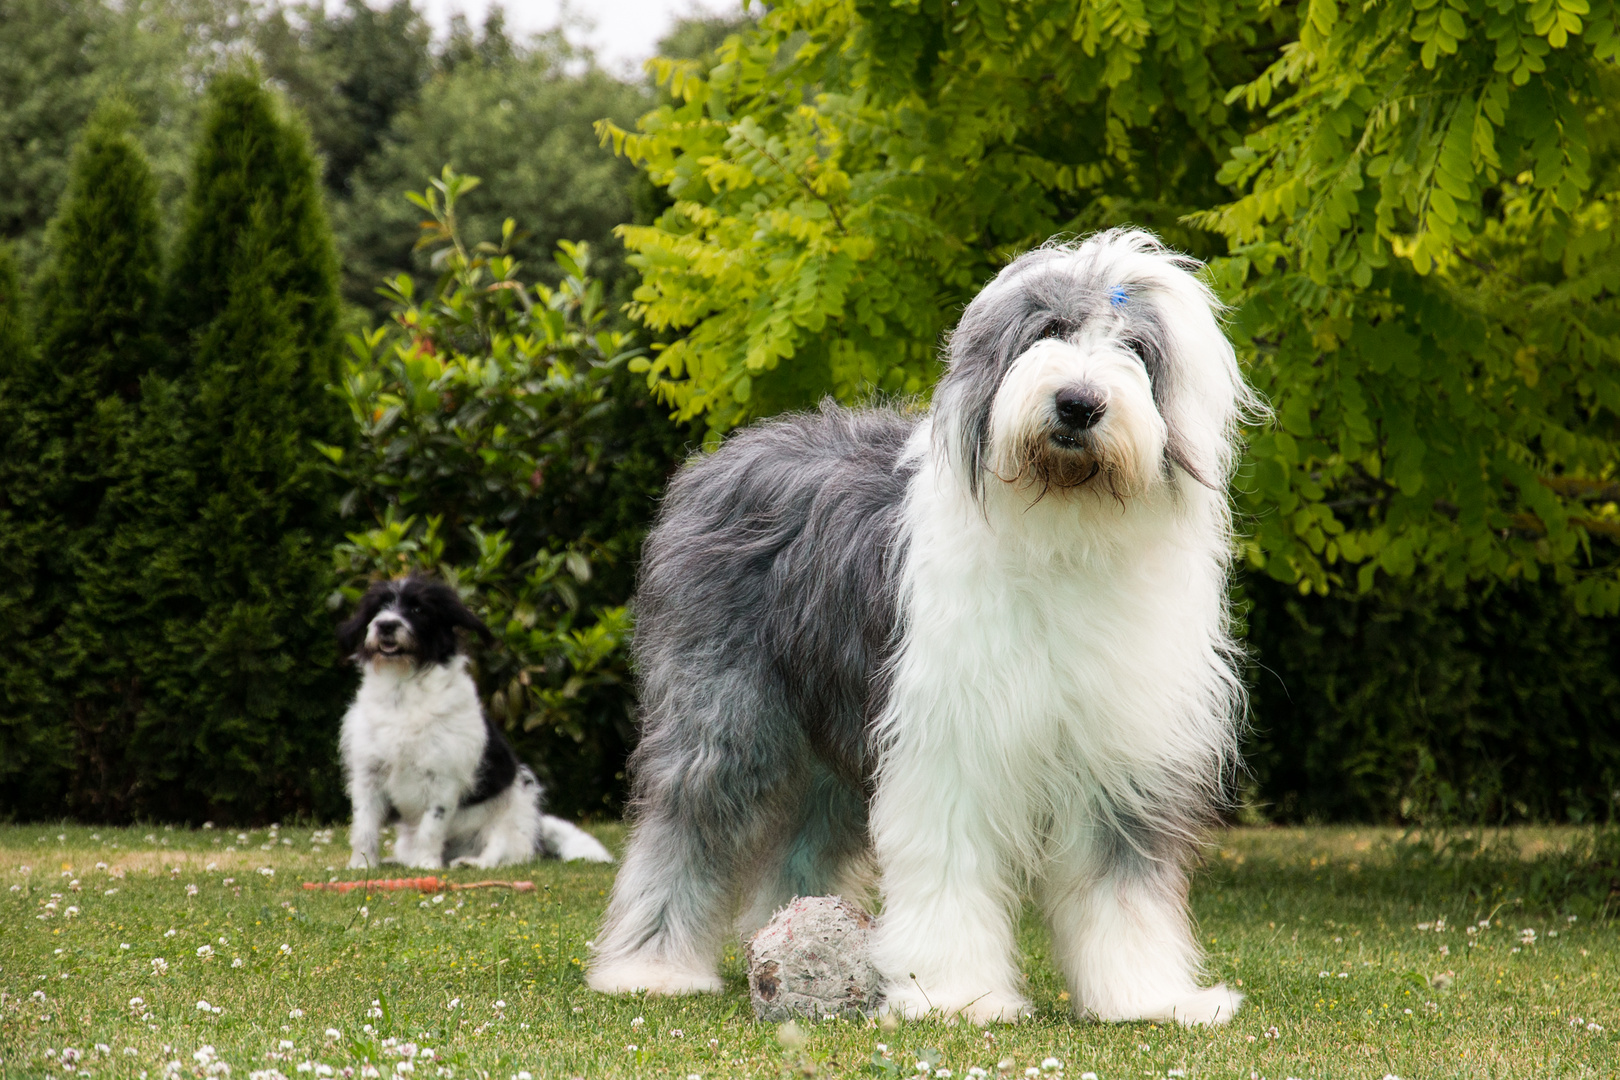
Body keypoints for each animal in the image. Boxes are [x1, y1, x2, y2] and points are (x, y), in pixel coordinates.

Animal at [332, 573, 609, 867]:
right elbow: (364, 826)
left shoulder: (443, 778)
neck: (404, 690)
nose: (385, 625)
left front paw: (426, 864)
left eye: (418, 609)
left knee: (498, 854)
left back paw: (468, 862)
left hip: (509, 821)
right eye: (378, 608)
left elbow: (431, 827)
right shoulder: (367, 775)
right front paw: (362, 866)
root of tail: (537, 834)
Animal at [589, 229, 1257, 1029]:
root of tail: (730, 451)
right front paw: (955, 993)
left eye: (1136, 349)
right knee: (689, 823)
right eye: (1048, 331)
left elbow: (1122, 888)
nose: (1078, 403)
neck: (1066, 529)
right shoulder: (953, 740)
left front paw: (1146, 996)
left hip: (839, 727)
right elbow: (951, 865)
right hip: (726, 712)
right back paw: (650, 968)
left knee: (801, 839)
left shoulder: (1122, 756)